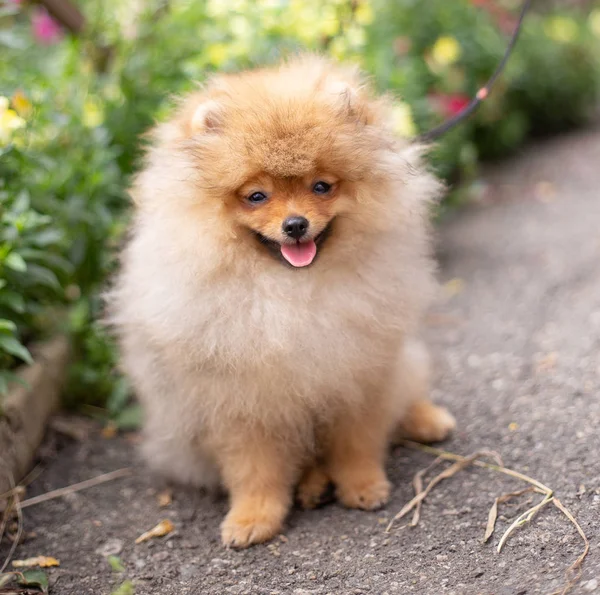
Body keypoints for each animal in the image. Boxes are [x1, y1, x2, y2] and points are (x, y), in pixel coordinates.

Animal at [109, 56, 454, 548]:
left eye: (322, 187)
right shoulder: (240, 403)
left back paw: (427, 420)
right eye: (256, 195)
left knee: (408, 389)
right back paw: (311, 484)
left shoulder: (359, 374)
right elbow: (255, 469)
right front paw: (252, 518)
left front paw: (364, 486)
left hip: (399, 362)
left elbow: (357, 442)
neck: (291, 294)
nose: (295, 225)